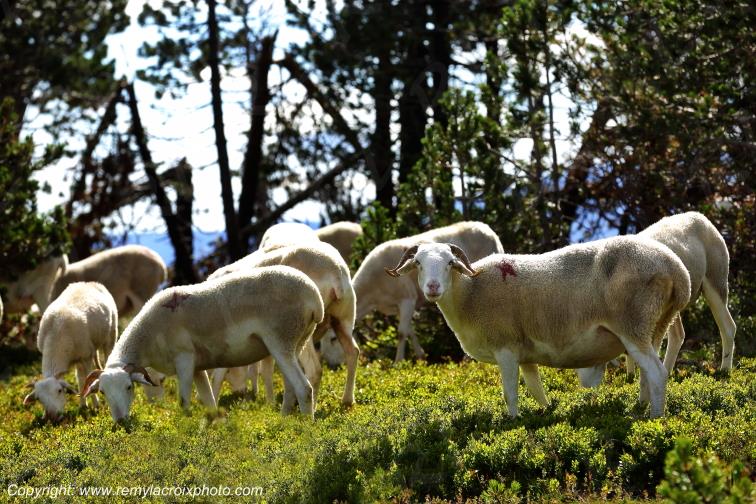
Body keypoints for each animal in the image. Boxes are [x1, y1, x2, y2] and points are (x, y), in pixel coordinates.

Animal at [23, 282, 118, 420]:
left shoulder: (85, 357)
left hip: (110, 335)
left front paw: (96, 405)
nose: (52, 416)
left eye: (59, 390)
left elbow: (87, 380)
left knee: (106, 357)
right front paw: (83, 405)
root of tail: (88, 283)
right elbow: (81, 380)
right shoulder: (80, 356)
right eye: (39, 399)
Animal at [80, 266, 324, 421]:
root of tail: (315, 299)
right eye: (103, 392)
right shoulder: (197, 367)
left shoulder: (184, 359)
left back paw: (306, 428)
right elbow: (209, 402)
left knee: (304, 388)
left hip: (281, 339)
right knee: (292, 387)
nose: (120, 421)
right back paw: (284, 422)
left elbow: (184, 402)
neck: (148, 336)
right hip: (298, 340)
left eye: (129, 388)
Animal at [208, 241, 359, 406]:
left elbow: (218, 376)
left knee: (315, 370)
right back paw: (347, 400)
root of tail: (335, 272)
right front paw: (268, 401)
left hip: (305, 329)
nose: (239, 392)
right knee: (353, 352)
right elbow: (264, 369)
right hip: (344, 317)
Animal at [353, 221, 503, 362]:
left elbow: (401, 332)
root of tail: (488, 230)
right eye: (417, 262)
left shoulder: (407, 299)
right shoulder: (397, 307)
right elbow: (410, 330)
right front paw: (421, 356)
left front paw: (398, 362)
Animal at [385, 237, 691, 418]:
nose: (433, 287)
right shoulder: (524, 352)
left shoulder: (505, 347)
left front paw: (513, 422)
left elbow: (510, 393)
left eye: (450, 263)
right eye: (418, 263)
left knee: (657, 372)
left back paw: (654, 418)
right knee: (648, 373)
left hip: (633, 324)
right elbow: (535, 389)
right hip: (655, 324)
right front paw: (544, 414)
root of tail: (677, 270)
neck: (470, 292)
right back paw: (641, 408)